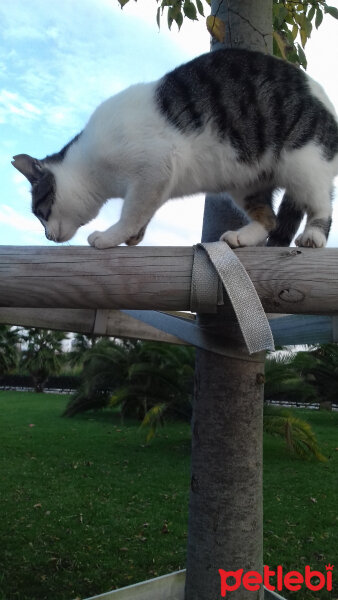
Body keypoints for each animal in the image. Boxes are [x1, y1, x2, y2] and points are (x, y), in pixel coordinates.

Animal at [11, 47, 338, 251]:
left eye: (40, 212)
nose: (47, 236)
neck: (93, 167)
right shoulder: (158, 181)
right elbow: (144, 210)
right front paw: (134, 235)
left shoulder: (154, 166)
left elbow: (131, 211)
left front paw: (110, 236)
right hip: (246, 183)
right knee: (269, 219)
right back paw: (242, 237)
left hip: (303, 163)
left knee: (322, 203)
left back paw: (313, 236)